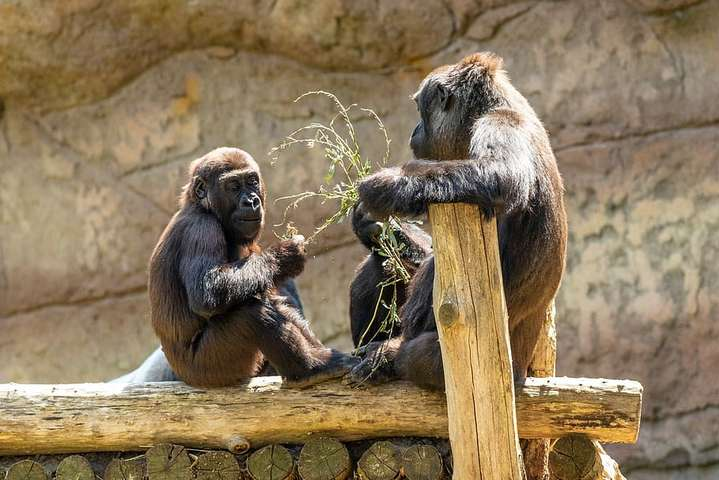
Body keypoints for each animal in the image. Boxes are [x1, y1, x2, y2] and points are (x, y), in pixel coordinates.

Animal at [114, 148, 358, 388]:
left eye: (252, 182)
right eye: (233, 186)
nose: (251, 201)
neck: (200, 206)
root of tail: (185, 377)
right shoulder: (202, 228)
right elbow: (208, 292)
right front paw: (285, 256)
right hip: (209, 370)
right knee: (251, 314)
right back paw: (309, 369)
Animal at [346, 52, 572, 390]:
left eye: (419, 109)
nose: (414, 129)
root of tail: (523, 376)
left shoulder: (502, 125)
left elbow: (499, 175)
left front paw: (390, 186)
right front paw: (378, 228)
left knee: (415, 353)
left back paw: (387, 357)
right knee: (380, 266)